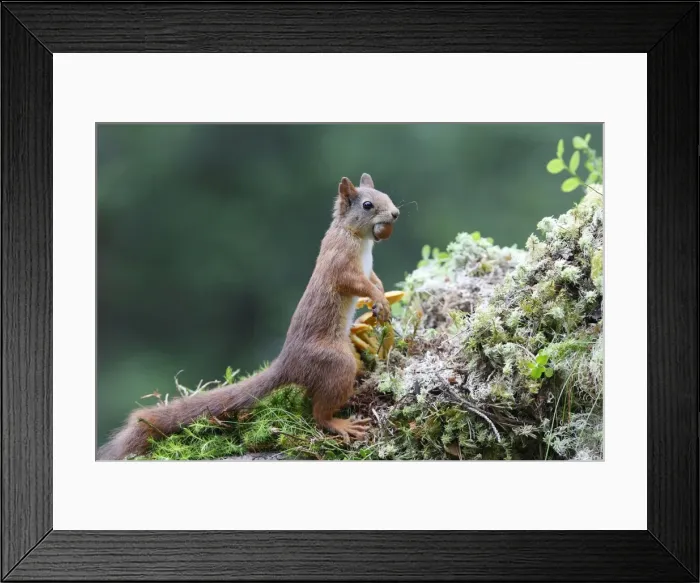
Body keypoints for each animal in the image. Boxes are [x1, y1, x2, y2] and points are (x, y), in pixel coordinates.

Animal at [98, 173, 400, 460]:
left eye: (386, 194)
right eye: (368, 205)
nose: (396, 213)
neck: (357, 238)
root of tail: (289, 364)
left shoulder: (367, 268)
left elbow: (375, 280)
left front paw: (381, 298)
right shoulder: (340, 264)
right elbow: (357, 283)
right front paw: (378, 299)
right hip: (336, 363)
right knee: (318, 413)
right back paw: (340, 424)